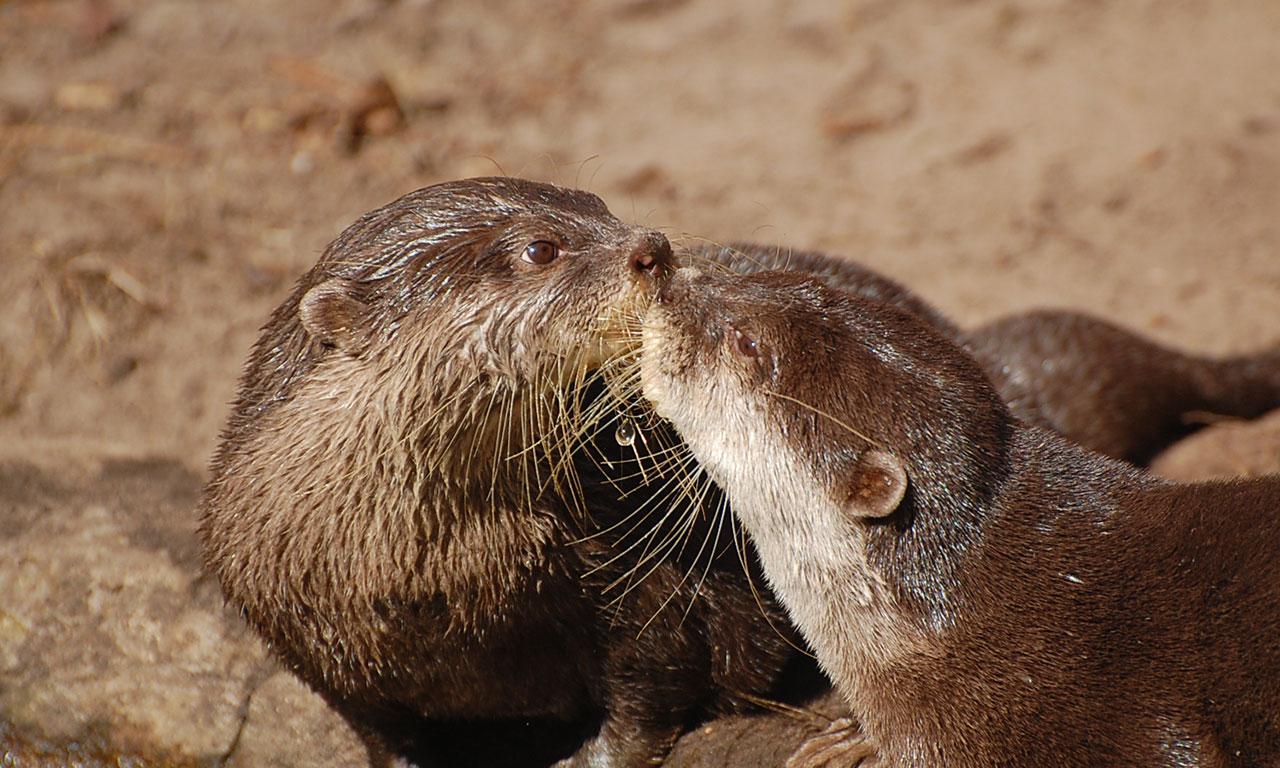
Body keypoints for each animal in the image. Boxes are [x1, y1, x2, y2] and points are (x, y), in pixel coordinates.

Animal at [197, 176, 798, 762]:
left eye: (598, 203)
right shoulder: (311, 649)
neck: (430, 581)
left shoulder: (638, 574)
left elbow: (651, 688)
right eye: (540, 249)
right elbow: (382, 734)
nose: (653, 249)